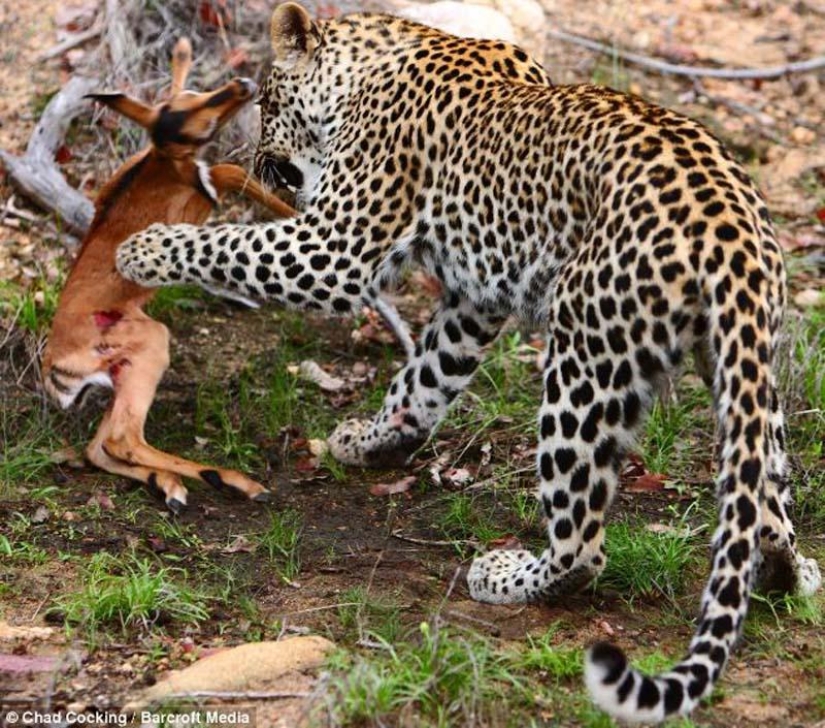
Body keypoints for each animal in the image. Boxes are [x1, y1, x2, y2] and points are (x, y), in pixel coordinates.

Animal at [41, 39, 295, 512]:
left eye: (193, 96)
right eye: (193, 126)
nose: (241, 84)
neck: (160, 164)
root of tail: (53, 366)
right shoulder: (202, 195)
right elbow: (230, 172)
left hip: (125, 373)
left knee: (99, 447)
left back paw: (173, 487)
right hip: (151, 345)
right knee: (120, 441)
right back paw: (235, 482)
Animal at [115, 3, 822, 722]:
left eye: (266, 102)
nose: (256, 163)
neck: (371, 60)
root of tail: (731, 230)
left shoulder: (333, 247)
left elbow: (232, 246)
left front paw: (143, 248)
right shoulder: (473, 299)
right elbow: (425, 375)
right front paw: (373, 440)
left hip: (584, 356)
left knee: (582, 542)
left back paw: (508, 574)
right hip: (741, 370)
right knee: (763, 499)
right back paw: (785, 571)